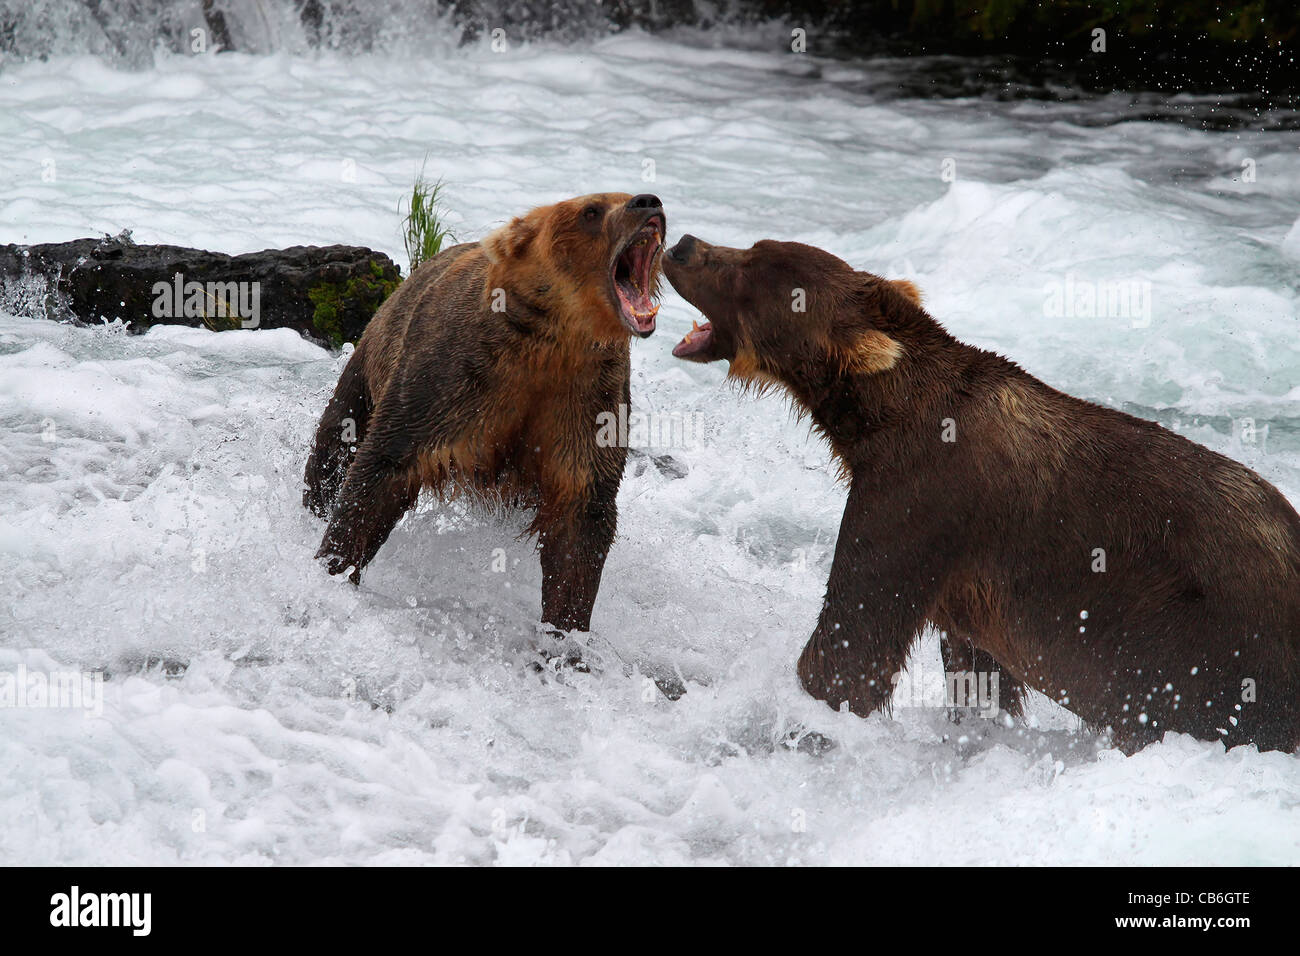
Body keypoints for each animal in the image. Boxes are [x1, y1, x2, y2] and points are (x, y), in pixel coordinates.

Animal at [302, 192, 665, 634]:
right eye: (591, 210)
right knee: (337, 439)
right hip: (371, 363)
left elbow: (582, 517)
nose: (648, 201)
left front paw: (565, 629)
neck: (552, 341)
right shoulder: (454, 377)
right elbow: (382, 466)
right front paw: (335, 565)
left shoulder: (585, 401)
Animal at [665, 234, 1300, 754]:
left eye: (748, 270)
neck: (879, 422)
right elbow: (977, 672)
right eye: (754, 248)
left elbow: (855, 636)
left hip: (1211, 641)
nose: (683, 245)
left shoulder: (922, 501)